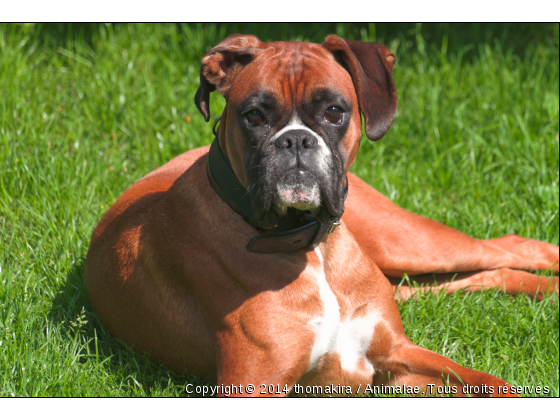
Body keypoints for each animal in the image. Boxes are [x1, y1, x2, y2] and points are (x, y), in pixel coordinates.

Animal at [85, 33, 556, 398]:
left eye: (334, 112)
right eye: (254, 116)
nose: (295, 140)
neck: (311, 247)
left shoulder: (399, 354)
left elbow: (490, 381)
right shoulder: (254, 385)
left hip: (406, 243)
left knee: (507, 248)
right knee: (484, 272)